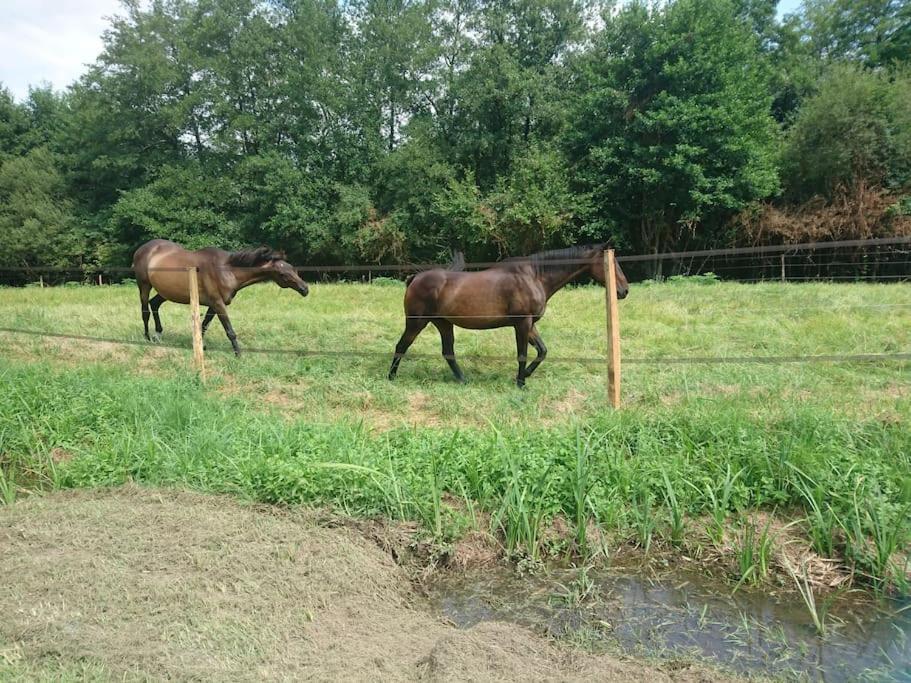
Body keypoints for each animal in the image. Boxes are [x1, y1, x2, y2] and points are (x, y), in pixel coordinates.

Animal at [131, 239, 310, 356]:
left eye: (293, 269)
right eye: (283, 274)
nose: (305, 289)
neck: (226, 270)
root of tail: (142, 249)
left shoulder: (213, 304)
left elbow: (203, 326)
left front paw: (199, 346)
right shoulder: (218, 304)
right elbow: (229, 330)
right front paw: (238, 354)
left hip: (166, 292)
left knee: (154, 304)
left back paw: (158, 334)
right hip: (144, 285)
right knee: (145, 310)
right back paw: (147, 337)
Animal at [388, 246, 632, 388]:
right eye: (611, 263)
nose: (624, 291)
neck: (534, 276)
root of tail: (415, 278)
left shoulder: (530, 325)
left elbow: (542, 351)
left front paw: (525, 376)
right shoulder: (522, 324)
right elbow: (522, 354)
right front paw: (521, 382)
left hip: (444, 324)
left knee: (448, 352)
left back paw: (463, 380)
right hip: (417, 322)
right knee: (401, 346)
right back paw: (392, 377)